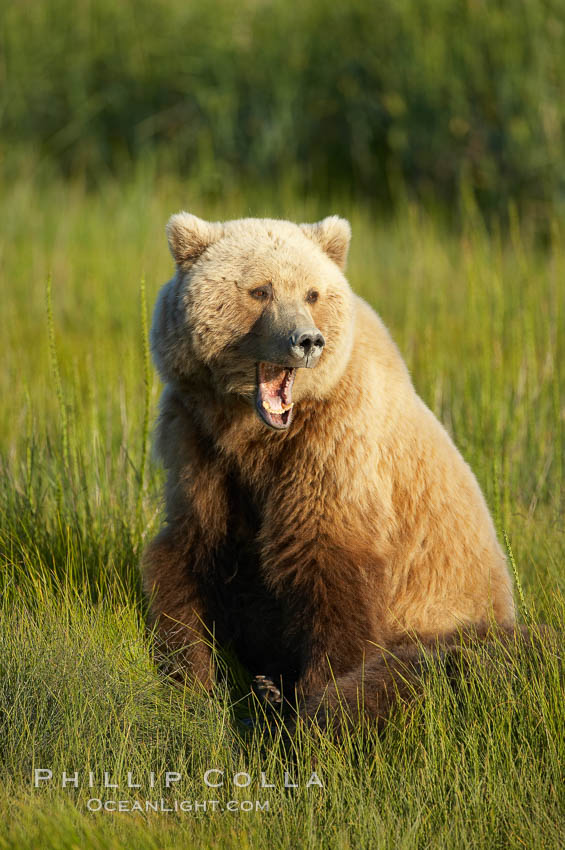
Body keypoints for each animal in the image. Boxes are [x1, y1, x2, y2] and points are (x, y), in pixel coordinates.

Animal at [141, 209, 516, 724]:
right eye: (261, 290)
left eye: (312, 294)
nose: (307, 340)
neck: (252, 433)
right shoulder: (198, 441)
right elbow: (192, 551)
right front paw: (194, 678)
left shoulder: (332, 445)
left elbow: (328, 567)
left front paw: (314, 702)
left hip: (452, 623)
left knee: (424, 670)